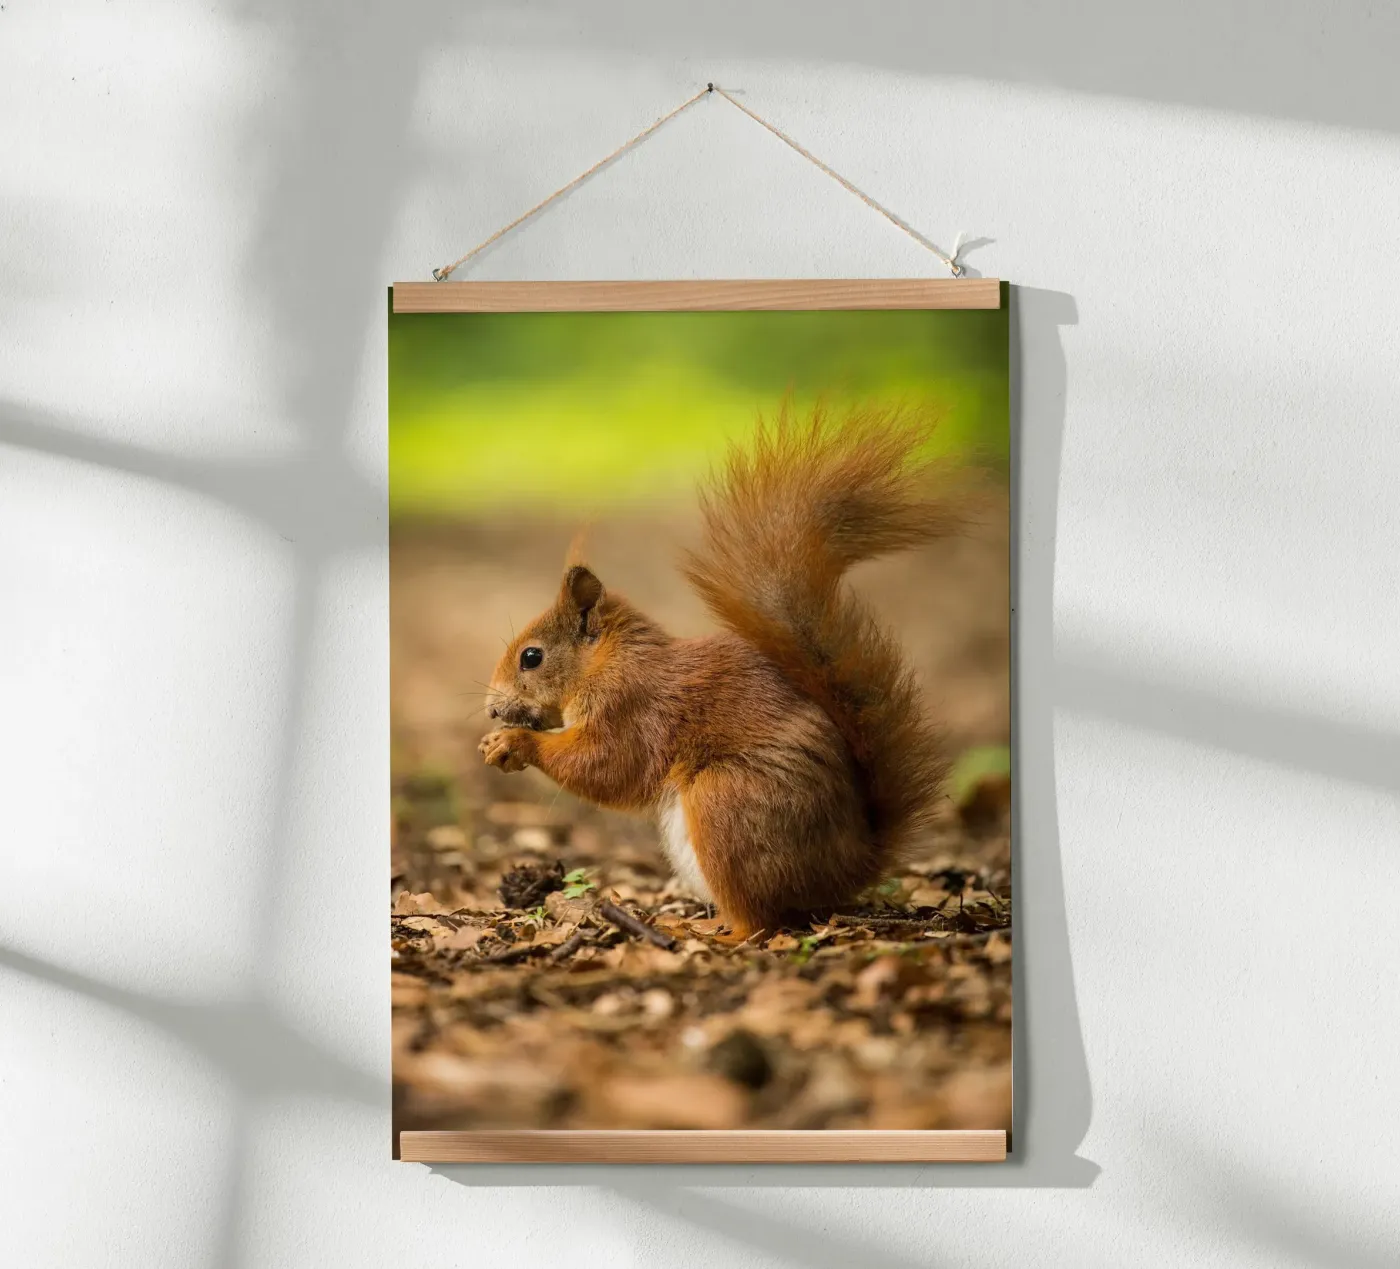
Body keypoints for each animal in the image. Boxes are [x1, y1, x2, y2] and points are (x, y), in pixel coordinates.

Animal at [479, 406, 962, 943]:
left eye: (531, 657)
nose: (492, 709)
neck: (608, 661)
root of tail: (849, 868)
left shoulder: (634, 706)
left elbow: (606, 765)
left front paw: (515, 743)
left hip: (726, 803)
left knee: (760, 922)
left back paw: (710, 933)